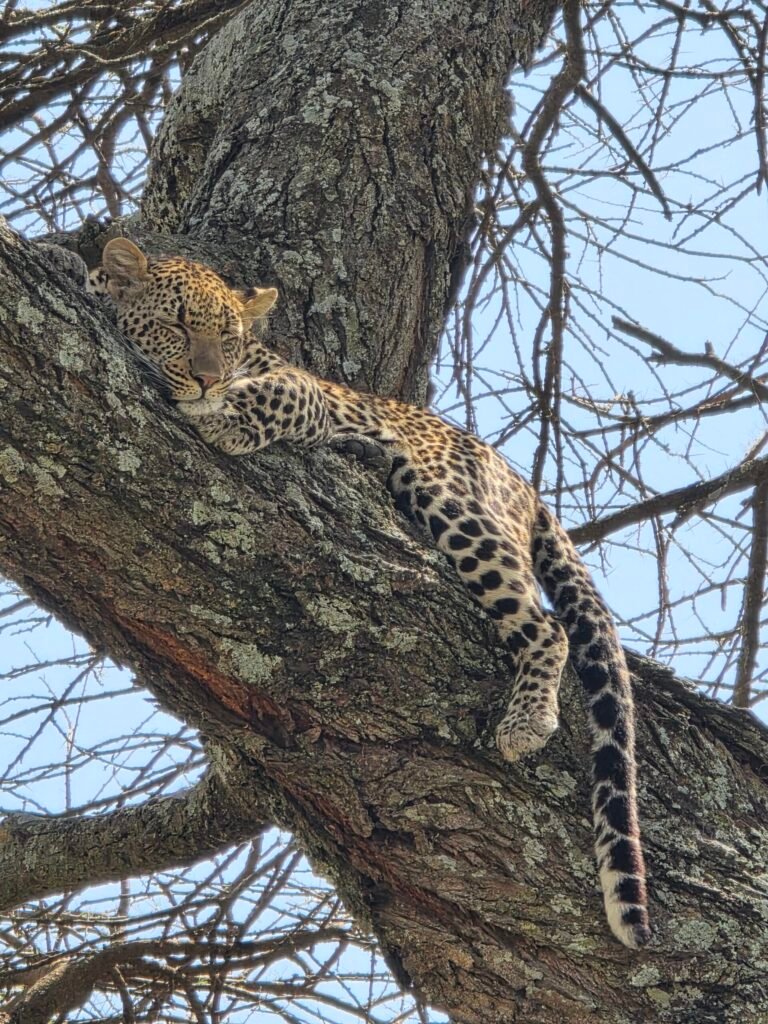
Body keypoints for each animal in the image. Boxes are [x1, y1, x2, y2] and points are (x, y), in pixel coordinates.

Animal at [86, 236, 651, 949]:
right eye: (179, 326)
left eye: (228, 337)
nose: (209, 378)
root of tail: (520, 479)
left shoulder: (312, 394)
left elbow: (273, 396)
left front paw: (227, 416)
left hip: (448, 497)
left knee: (544, 624)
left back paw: (526, 721)